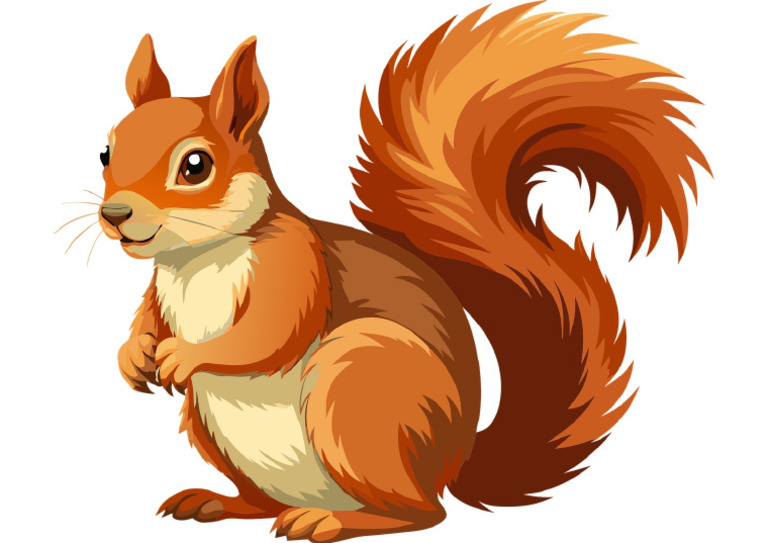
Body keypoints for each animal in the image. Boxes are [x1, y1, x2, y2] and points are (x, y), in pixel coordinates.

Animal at [96, 3, 708, 542]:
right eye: (106, 152)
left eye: (195, 165)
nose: (114, 215)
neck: (196, 257)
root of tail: (452, 466)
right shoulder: (159, 288)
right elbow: (148, 320)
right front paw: (133, 354)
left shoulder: (295, 264)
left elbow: (269, 334)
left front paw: (186, 354)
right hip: (213, 428)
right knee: (268, 501)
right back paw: (219, 502)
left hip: (360, 385)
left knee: (422, 514)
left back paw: (331, 521)